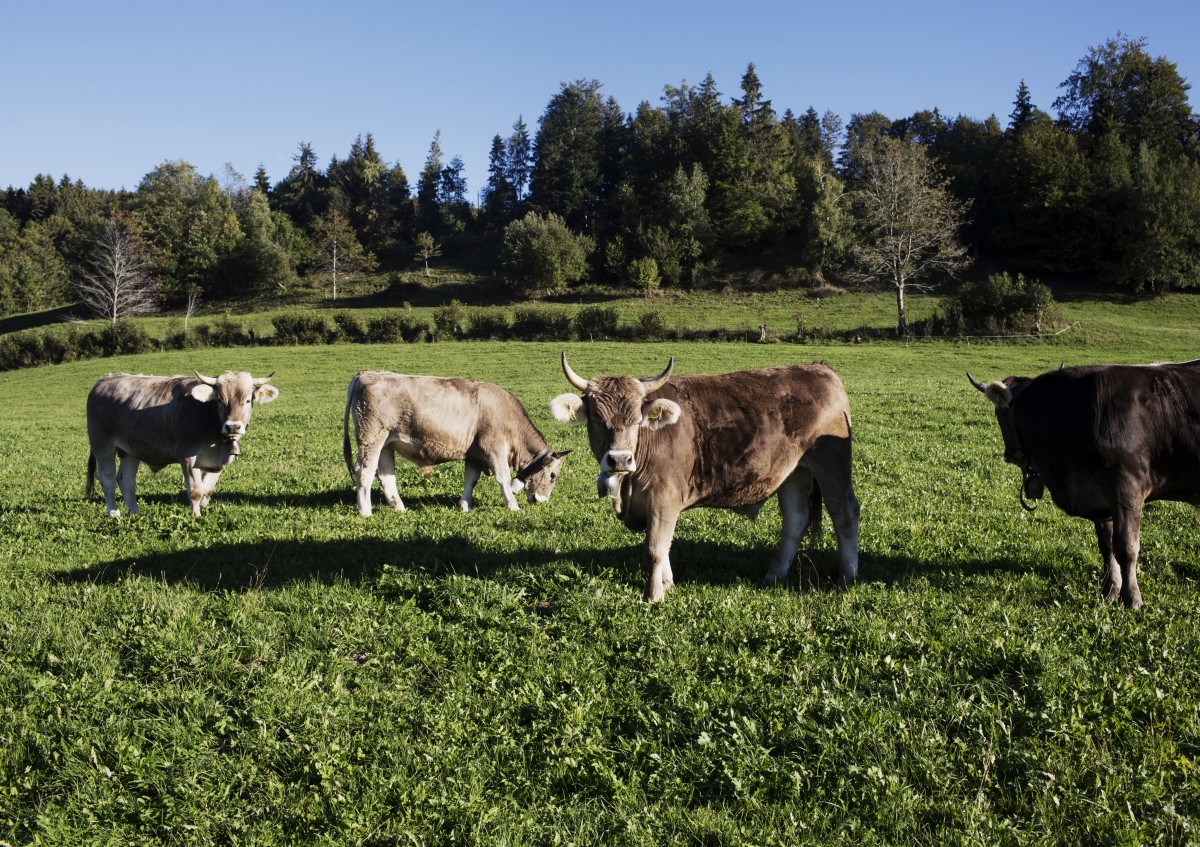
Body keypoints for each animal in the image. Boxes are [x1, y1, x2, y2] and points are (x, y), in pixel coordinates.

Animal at [87, 369, 278, 513]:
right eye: (220, 400)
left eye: (248, 400)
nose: (233, 427)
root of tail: (105, 379)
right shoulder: (188, 457)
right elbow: (196, 491)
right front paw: (196, 516)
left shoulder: (220, 461)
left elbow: (207, 489)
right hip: (102, 444)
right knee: (107, 478)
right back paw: (114, 513)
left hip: (130, 450)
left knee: (126, 479)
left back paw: (133, 512)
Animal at [345, 367, 568, 511]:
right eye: (552, 476)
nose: (542, 500)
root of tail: (367, 373)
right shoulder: (495, 448)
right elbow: (503, 478)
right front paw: (513, 506)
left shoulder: (475, 454)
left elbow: (471, 479)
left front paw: (464, 506)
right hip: (371, 437)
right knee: (365, 472)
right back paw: (365, 511)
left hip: (387, 443)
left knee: (386, 475)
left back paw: (399, 508)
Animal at [552, 352, 864, 597]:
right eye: (596, 419)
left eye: (637, 420)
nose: (619, 459)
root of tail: (819, 368)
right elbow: (664, 546)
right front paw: (667, 584)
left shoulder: (664, 497)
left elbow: (655, 548)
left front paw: (653, 595)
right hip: (794, 473)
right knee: (795, 519)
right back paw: (773, 576)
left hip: (832, 465)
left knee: (845, 513)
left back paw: (847, 577)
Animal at [969, 359, 1200, 609]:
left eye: (998, 413)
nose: (1009, 454)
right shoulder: (1100, 497)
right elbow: (1107, 547)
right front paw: (1110, 590)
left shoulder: (1126, 490)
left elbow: (1126, 548)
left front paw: (1132, 599)